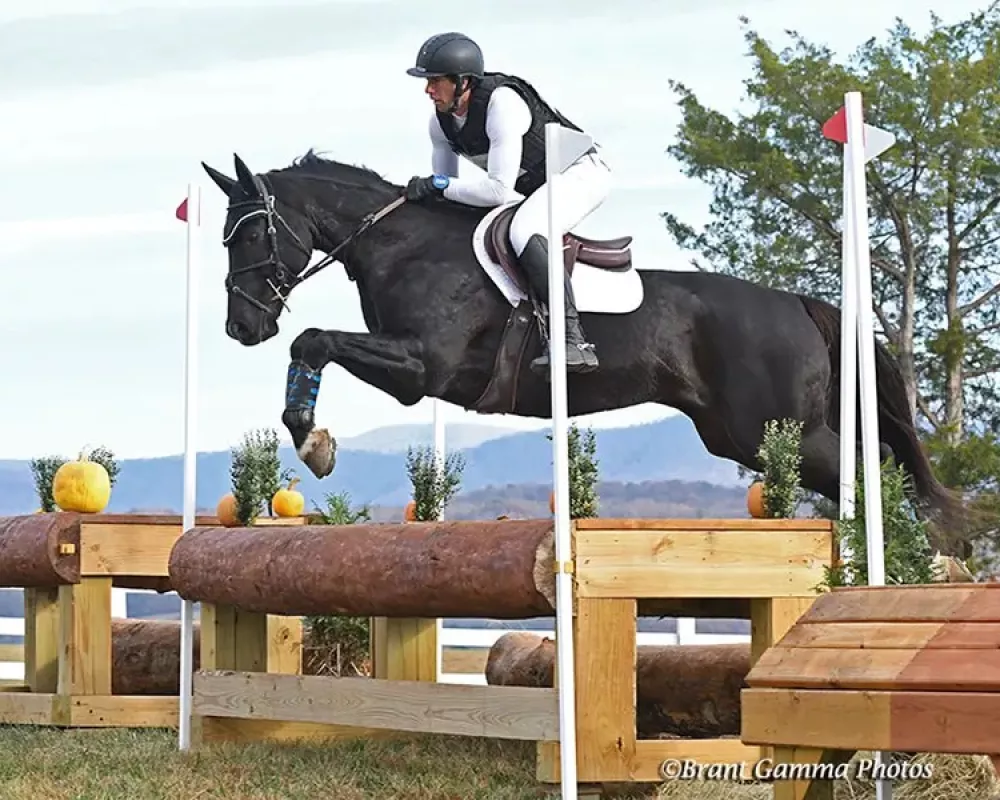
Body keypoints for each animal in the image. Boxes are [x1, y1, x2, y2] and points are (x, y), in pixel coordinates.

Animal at [201, 151, 960, 548]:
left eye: (251, 234)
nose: (242, 328)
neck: (402, 245)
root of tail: (800, 303)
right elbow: (313, 344)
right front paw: (312, 436)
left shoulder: (420, 366)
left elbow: (314, 339)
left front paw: (312, 442)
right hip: (742, 434)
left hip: (779, 430)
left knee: (874, 468)